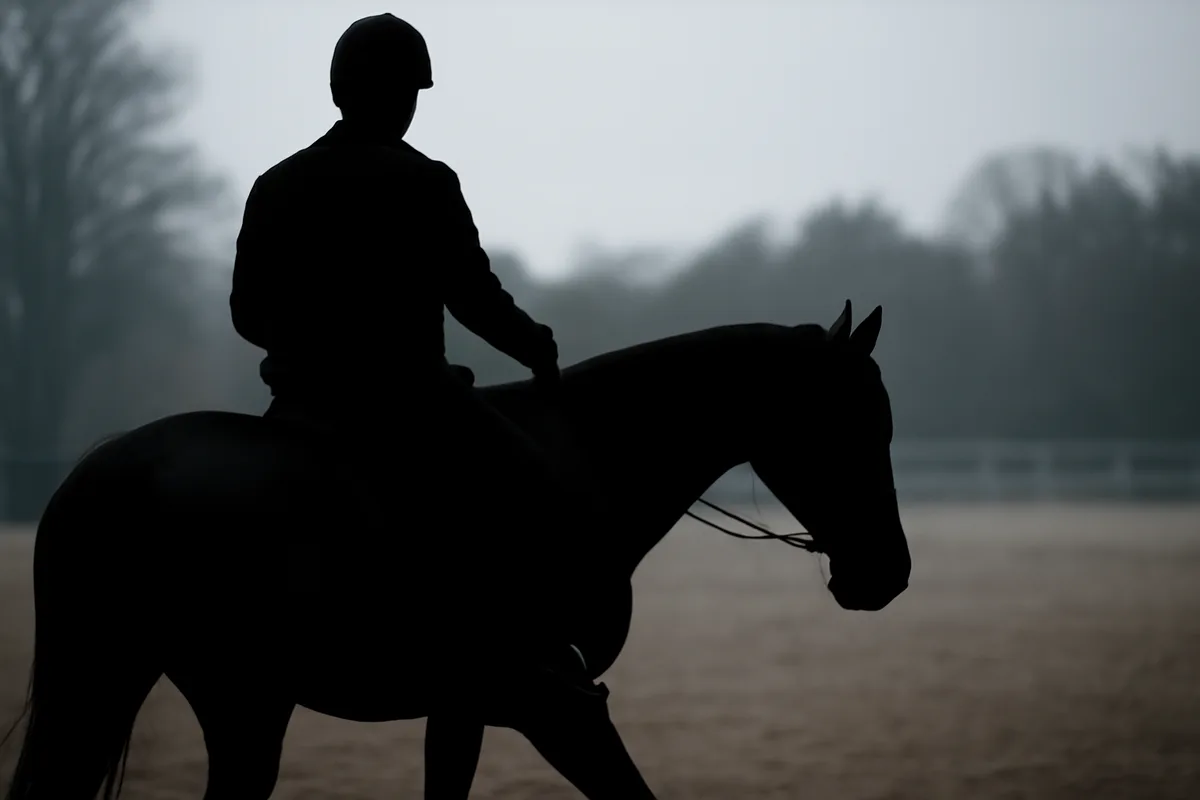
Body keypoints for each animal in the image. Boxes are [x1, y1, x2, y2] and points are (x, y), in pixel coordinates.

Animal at [2, 300, 911, 800]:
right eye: (854, 424)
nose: (890, 573)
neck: (584, 459)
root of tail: (100, 473)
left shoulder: (466, 706)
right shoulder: (554, 703)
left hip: (219, 698)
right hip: (181, 689)